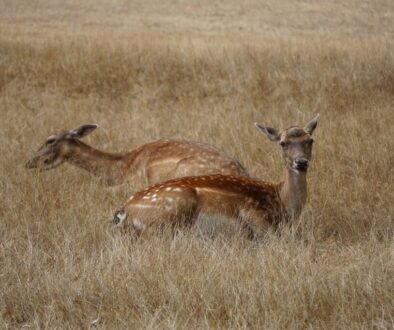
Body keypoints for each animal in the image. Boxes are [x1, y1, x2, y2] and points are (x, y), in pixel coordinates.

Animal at [111, 114, 320, 238]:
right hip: (177, 204)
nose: (301, 162)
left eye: (310, 140)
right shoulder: (253, 213)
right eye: (283, 143)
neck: (280, 201)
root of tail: (123, 212)